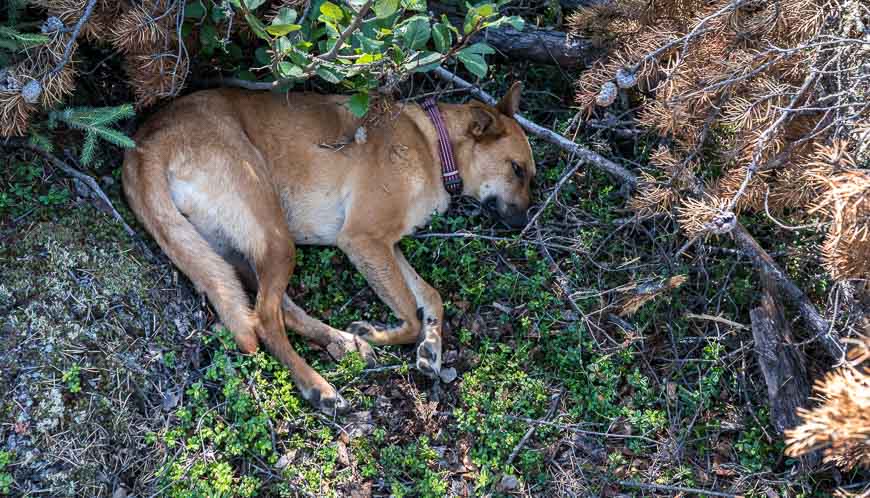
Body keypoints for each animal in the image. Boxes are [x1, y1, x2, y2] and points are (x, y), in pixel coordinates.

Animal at [120, 83, 536, 414]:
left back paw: (342, 342)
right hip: (274, 234)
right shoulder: (363, 240)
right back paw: (317, 384)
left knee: (274, 309)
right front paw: (380, 333)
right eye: (516, 169)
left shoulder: (385, 246)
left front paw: (430, 347)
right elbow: (411, 315)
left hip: (237, 250)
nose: (523, 224)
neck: (434, 145)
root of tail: (146, 144)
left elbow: (430, 296)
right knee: (265, 319)